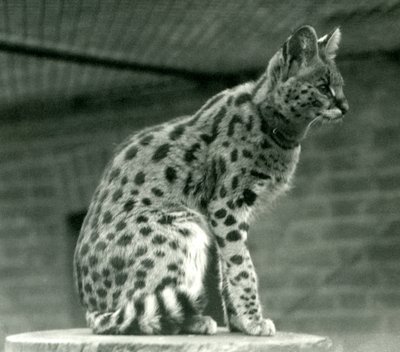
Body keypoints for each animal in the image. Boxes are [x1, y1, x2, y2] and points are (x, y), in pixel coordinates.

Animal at [74, 25, 346, 336]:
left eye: (341, 86)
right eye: (323, 87)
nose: (346, 106)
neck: (272, 125)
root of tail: (90, 309)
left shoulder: (231, 214)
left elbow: (229, 268)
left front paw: (239, 322)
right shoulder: (226, 206)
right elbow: (242, 267)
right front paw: (253, 320)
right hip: (183, 227)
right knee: (138, 313)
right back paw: (191, 321)